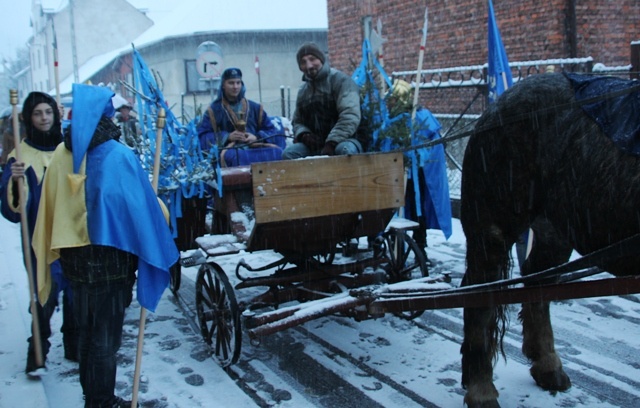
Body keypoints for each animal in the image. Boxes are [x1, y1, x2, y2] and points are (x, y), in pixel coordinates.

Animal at [460, 71, 640, 406]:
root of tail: (496, 106)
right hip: (491, 226)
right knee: (480, 295)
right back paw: (481, 388)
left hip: (554, 229)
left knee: (537, 281)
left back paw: (546, 365)